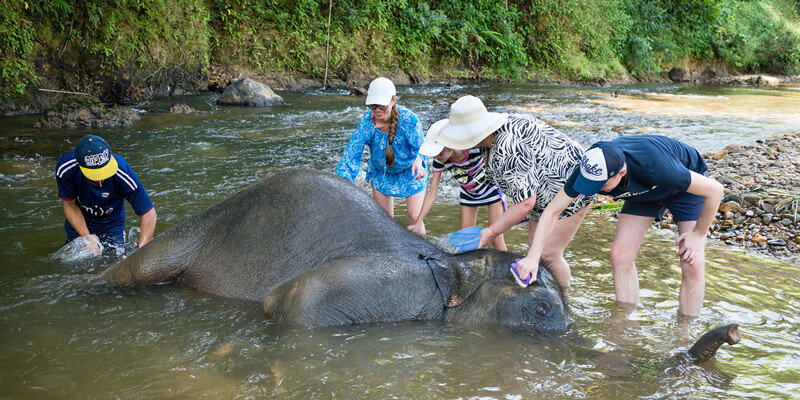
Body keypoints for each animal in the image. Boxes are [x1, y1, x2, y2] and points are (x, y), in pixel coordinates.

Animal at [100, 169, 571, 333]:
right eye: (542, 309)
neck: (455, 268)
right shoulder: (400, 287)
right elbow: (294, 299)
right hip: (189, 239)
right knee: (137, 270)